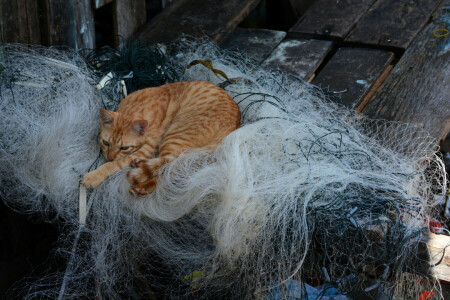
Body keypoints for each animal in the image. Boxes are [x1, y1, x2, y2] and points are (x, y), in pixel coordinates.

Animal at [82, 81, 241, 196]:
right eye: (105, 142)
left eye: (124, 147)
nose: (108, 157)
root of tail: (232, 129)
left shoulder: (147, 148)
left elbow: (114, 165)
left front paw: (94, 176)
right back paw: (139, 165)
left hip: (174, 136)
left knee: (168, 170)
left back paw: (141, 186)